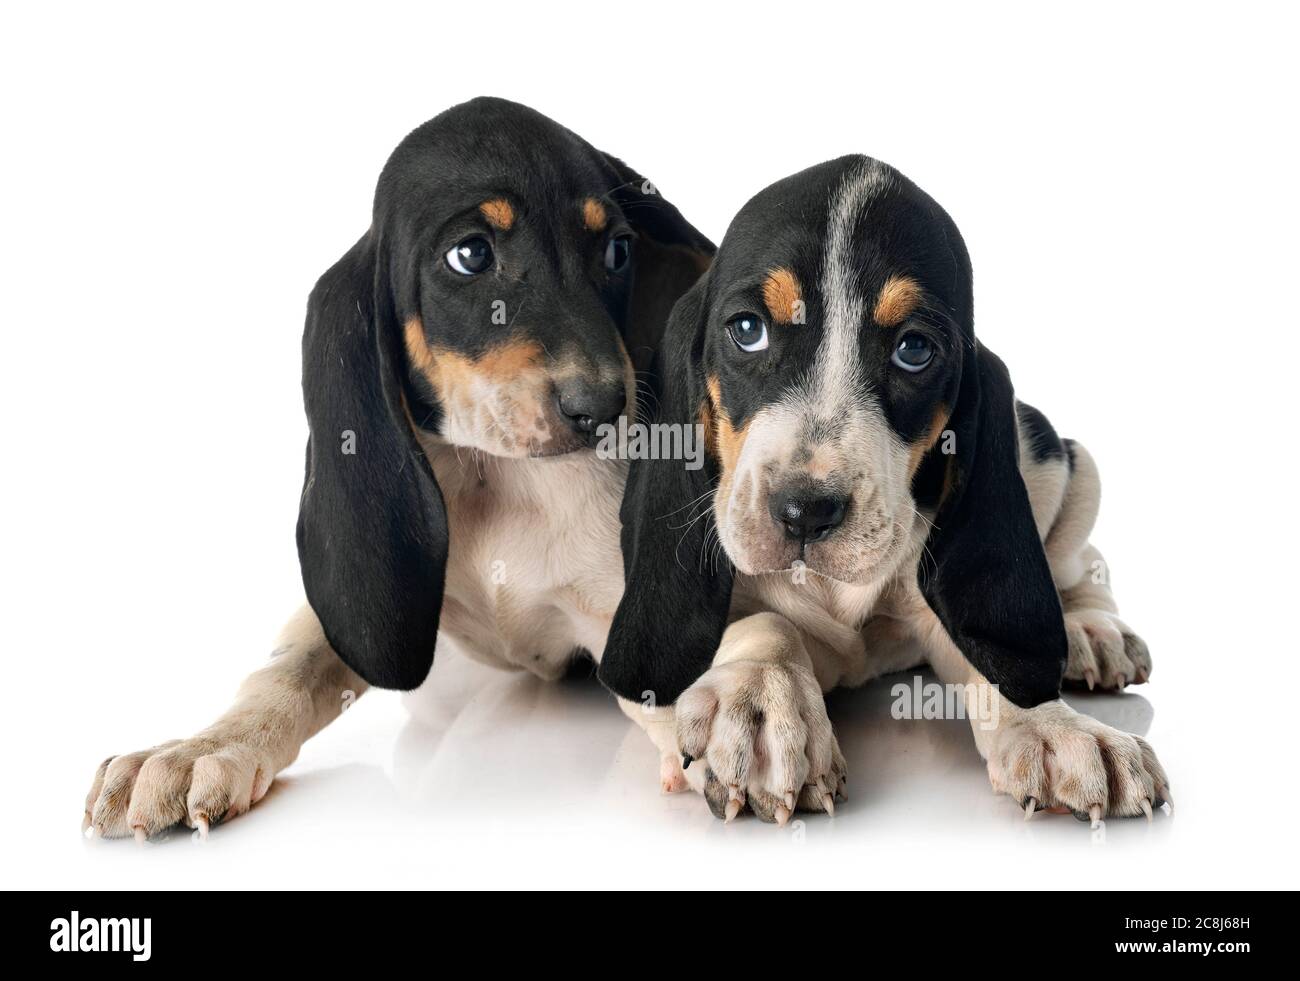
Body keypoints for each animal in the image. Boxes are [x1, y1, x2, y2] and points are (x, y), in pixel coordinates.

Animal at [81, 98, 712, 836]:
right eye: (470, 254)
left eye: (616, 250)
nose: (606, 408)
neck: (496, 475)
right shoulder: (365, 612)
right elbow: (285, 670)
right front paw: (198, 749)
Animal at [598, 157, 1170, 826]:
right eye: (747, 330)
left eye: (914, 349)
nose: (804, 512)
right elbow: (764, 623)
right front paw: (762, 705)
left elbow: (989, 657)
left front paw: (1058, 728)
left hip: (1063, 464)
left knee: (1081, 560)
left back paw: (1091, 629)